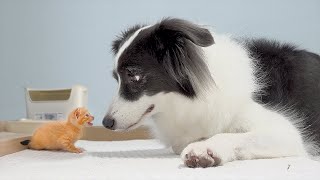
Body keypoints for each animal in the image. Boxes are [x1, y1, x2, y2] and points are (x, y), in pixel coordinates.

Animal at [103, 17, 320, 167]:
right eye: (116, 78)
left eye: (134, 76)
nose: (106, 123)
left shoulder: (287, 133)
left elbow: (233, 135)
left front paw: (204, 149)